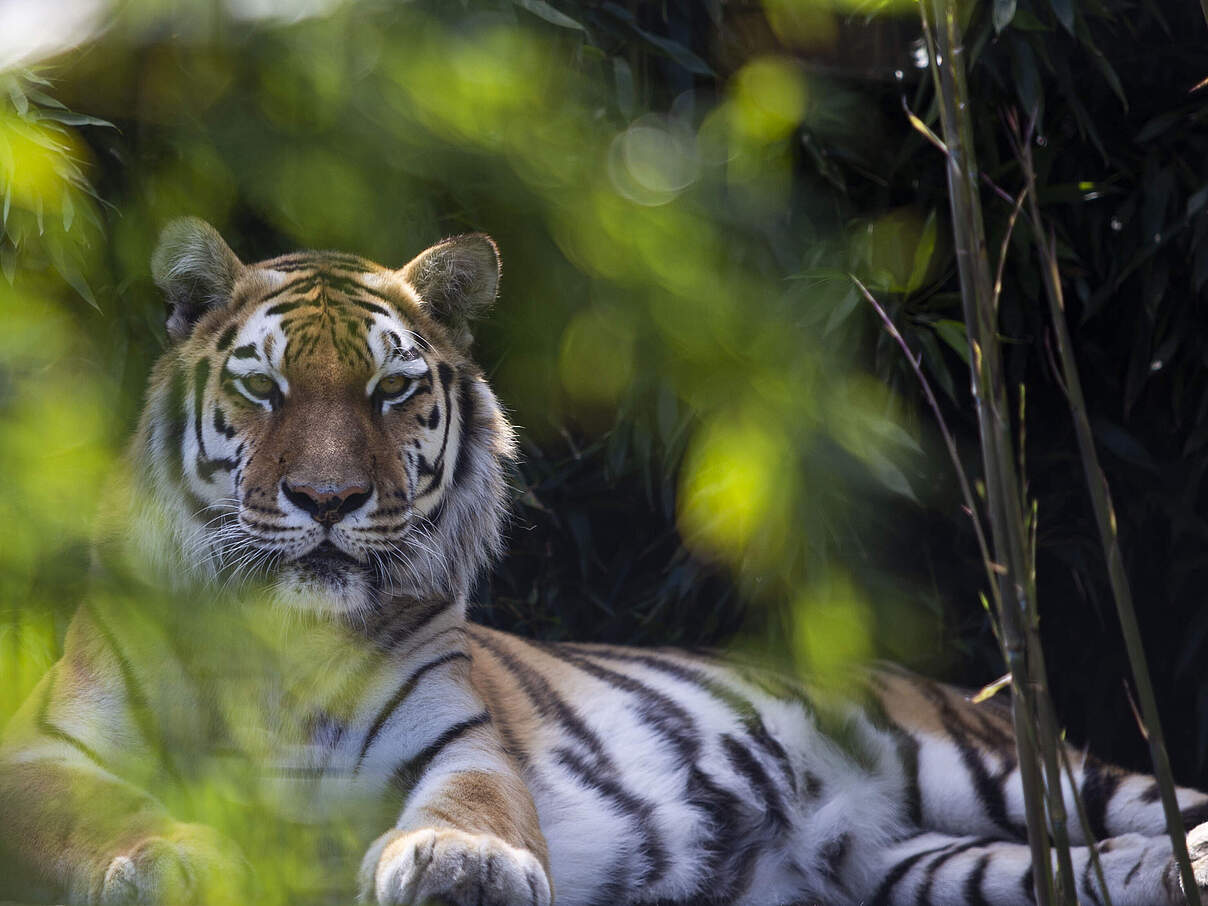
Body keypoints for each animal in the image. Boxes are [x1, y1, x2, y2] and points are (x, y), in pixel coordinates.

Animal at [7, 219, 1208, 906]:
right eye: (263, 389)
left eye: (392, 391)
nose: (330, 500)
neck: (282, 641)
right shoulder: (45, 752)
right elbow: (98, 813)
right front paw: (173, 857)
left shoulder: (459, 743)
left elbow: (471, 805)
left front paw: (464, 868)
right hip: (910, 868)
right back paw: (1155, 876)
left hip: (981, 759)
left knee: (1149, 798)